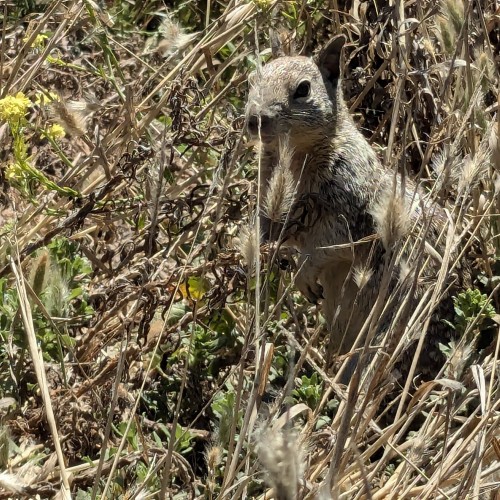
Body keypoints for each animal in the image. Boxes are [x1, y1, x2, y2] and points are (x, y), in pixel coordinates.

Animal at [245, 34, 464, 376]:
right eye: (252, 80)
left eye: (303, 89)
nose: (255, 120)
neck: (296, 155)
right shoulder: (273, 195)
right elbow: (273, 226)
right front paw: (258, 249)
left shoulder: (345, 210)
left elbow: (324, 247)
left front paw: (302, 275)